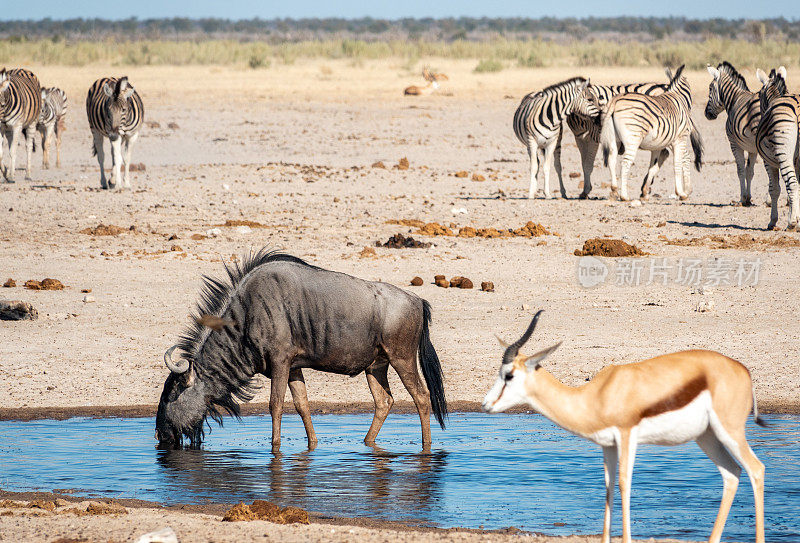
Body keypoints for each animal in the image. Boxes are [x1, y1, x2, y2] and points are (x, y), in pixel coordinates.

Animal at [596, 65, 704, 202]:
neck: (678, 97)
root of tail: (614, 101)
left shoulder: (657, 146)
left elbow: (653, 166)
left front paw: (645, 192)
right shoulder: (679, 139)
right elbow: (678, 163)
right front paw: (681, 193)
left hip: (614, 139)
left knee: (611, 159)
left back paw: (614, 190)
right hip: (633, 138)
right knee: (625, 163)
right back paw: (624, 196)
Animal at [708, 62, 768, 207]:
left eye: (710, 88)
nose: (707, 114)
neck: (734, 99)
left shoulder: (734, 144)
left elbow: (740, 171)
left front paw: (742, 198)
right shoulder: (753, 149)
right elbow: (749, 171)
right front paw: (748, 198)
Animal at [752, 67, 796, 230]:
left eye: (759, 94)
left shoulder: (768, 162)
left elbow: (774, 189)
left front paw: (773, 221)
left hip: (784, 156)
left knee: (792, 185)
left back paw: (792, 223)